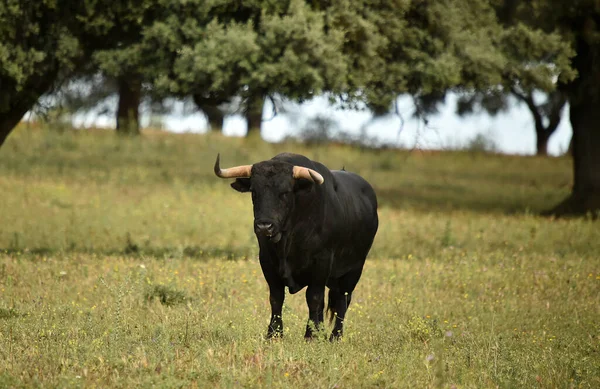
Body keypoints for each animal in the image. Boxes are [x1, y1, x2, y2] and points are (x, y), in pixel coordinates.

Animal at [213, 152, 378, 340]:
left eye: (285, 192)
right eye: (254, 191)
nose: (264, 226)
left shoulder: (322, 261)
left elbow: (313, 298)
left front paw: (310, 335)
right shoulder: (267, 261)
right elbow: (276, 297)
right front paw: (274, 334)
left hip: (354, 268)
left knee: (343, 299)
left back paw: (335, 336)